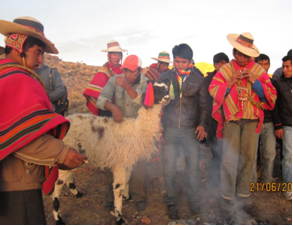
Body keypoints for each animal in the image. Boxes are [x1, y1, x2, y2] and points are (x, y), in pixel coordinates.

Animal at [57, 81, 169, 224]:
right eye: (156, 90)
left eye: (166, 89)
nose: (167, 98)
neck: (136, 130)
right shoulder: (119, 163)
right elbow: (118, 188)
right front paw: (119, 217)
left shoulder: (127, 160)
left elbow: (127, 180)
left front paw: (127, 197)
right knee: (57, 185)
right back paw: (58, 218)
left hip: (72, 154)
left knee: (68, 176)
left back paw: (78, 194)